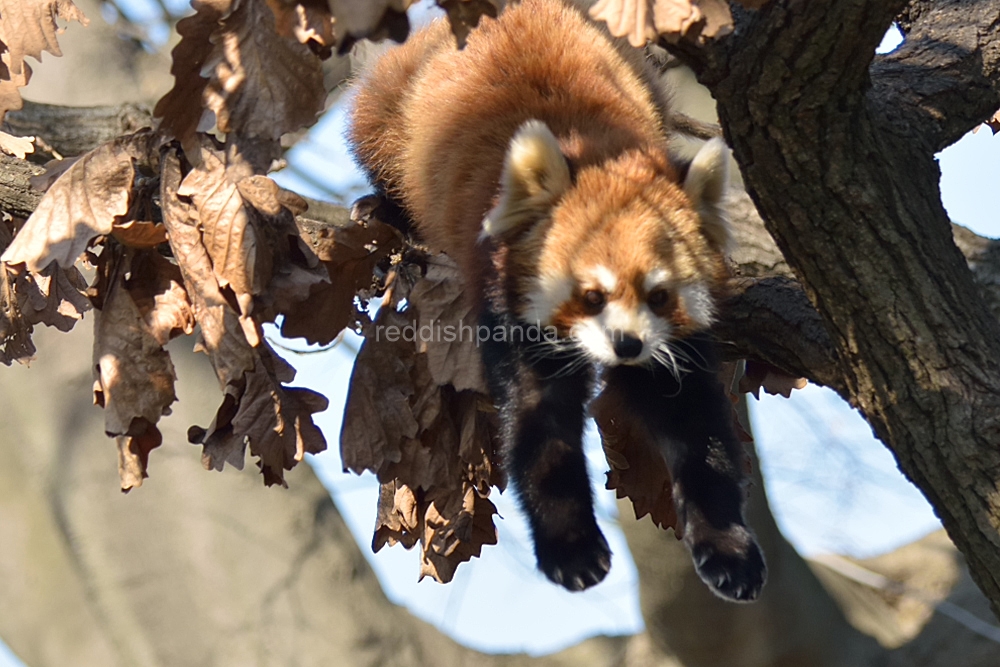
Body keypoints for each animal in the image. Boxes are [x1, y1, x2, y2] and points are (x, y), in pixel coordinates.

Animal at [350, 0, 764, 600]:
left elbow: (695, 423)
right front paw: (571, 546)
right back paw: (382, 210)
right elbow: (538, 422)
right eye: (590, 294)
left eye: (660, 294)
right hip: (394, 104)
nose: (627, 346)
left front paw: (728, 547)